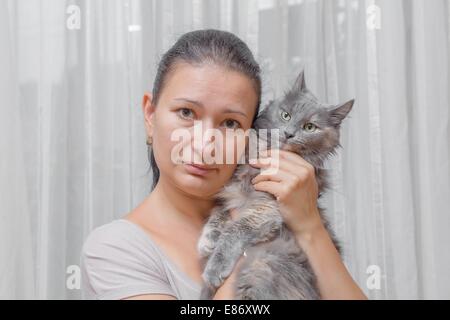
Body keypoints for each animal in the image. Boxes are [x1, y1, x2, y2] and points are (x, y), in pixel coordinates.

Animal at [199, 70, 354, 300]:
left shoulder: (266, 208)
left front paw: (215, 267)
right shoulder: (231, 194)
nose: (289, 133)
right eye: (286, 115)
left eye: (309, 127)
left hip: (262, 268)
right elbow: (218, 212)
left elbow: (235, 230)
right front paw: (207, 240)